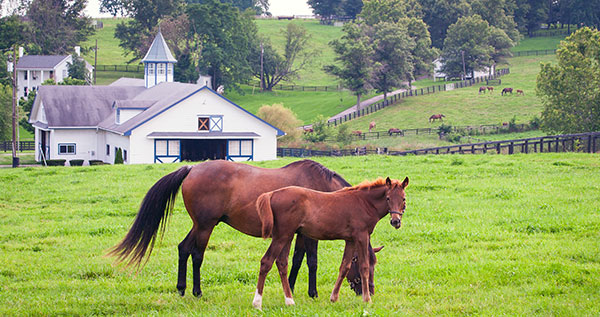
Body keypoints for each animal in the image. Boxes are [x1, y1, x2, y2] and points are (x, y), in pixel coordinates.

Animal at [109, 159, 376, 298]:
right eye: (366, 265)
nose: (369, 290)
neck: (322, 189)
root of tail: (192, 168)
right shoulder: (311, 235)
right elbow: (311, 261)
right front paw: (312, 293)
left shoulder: (299, 234)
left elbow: (297, 260)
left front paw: (289, 287)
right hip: (205, 226)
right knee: (196, 254)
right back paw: (196, 290)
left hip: (199, 225)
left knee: (183, 249)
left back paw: (182, 288)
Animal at [251, 177, 410, 308]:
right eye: (388, 198)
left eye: (403, 199)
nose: (395, 221)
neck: (364, 202)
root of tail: (272, 194)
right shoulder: (362, 236)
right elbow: (363, 266)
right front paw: (367, 300)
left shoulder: (350, 240)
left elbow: (344, 267)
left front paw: (334, 298)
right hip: (281, 236)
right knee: (266, 261)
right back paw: (257, 303)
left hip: (287, 236)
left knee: (282, 263)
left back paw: (289, 301)